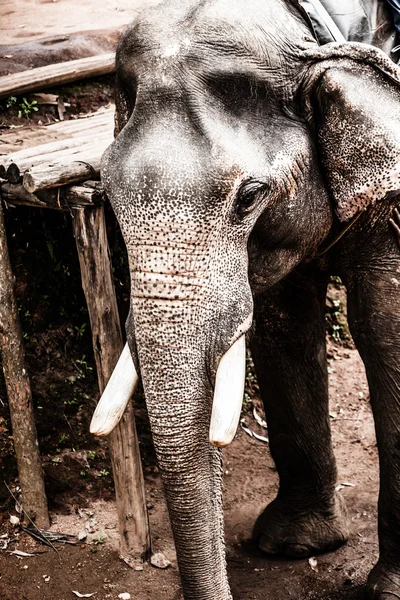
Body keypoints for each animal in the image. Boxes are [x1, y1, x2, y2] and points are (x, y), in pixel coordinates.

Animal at [94, 1, 400, 600]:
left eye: (250, 197)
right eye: (106, 192)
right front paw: (291, 546)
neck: (309, 35)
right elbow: (282, 324)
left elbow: (385, 326)